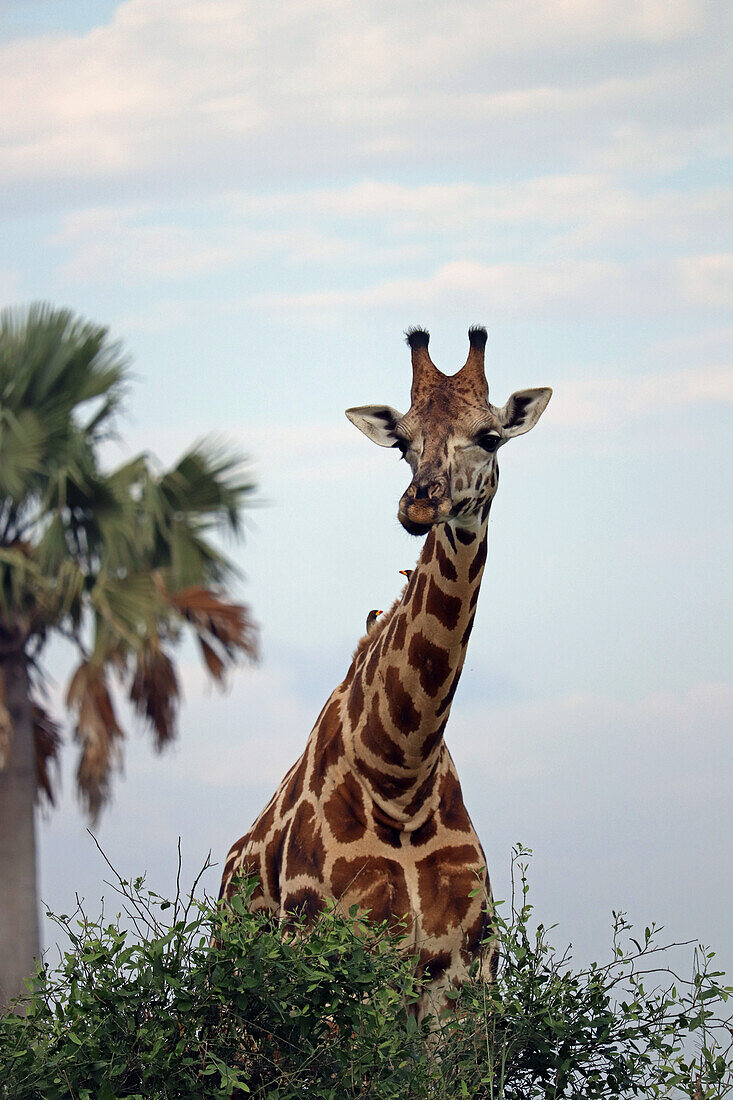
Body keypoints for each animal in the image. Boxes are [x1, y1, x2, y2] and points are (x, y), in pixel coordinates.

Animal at [216, 327, 548, 1020]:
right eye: (401, 442)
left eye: (490, 436)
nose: (420, 505)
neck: (401, 774)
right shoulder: (333, 968)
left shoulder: (462, 976)